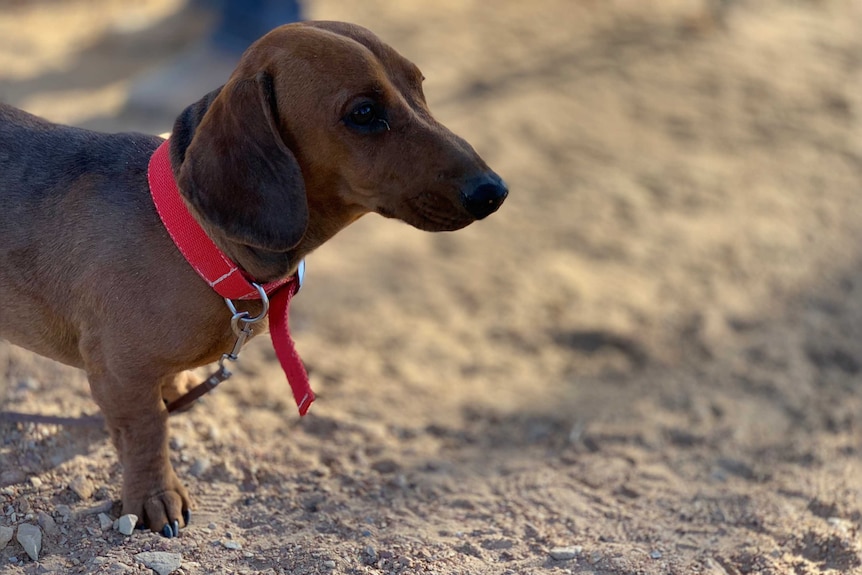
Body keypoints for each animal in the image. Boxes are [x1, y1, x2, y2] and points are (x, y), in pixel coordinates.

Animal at [0, 21, 506, 536]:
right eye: (364, 113)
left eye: (419, 84)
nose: (494, 191)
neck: (194, 236)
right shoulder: (120, 372)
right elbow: (147, 432)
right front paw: (154, 495)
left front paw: (175, 393)